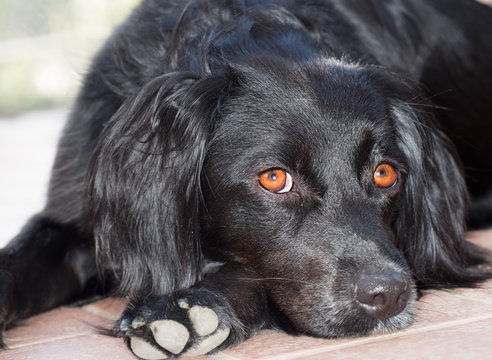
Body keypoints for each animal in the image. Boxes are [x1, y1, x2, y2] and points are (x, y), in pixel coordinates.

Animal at [0, 0, 492, 358]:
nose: (389, 294)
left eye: (385, 173)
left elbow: (251, 274)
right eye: (274, 178)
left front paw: (189, 310)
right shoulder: (70, 218)